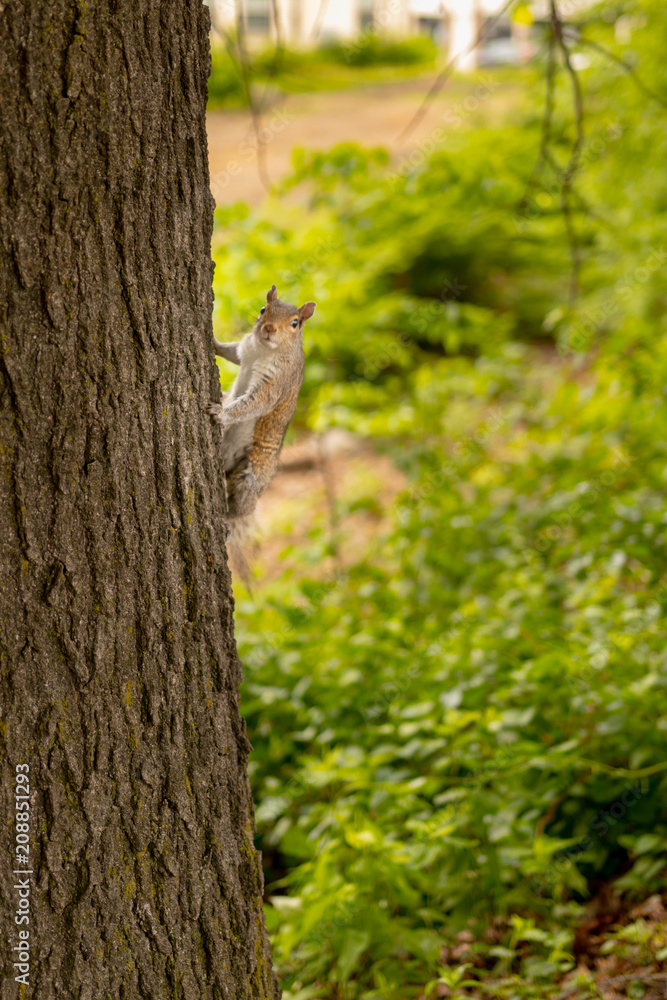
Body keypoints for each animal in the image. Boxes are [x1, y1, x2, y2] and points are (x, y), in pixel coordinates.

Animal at [207, 283, 316, 582]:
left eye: (295, 323)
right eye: (263, 309)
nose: (268, 329)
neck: (264, 350)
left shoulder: (275, 383)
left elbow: (253, 404)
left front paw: (222, 413)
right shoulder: (244, 349)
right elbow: (230, 351)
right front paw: (213, 342)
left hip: (252, 476)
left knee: (239, 508)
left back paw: (226, 520)